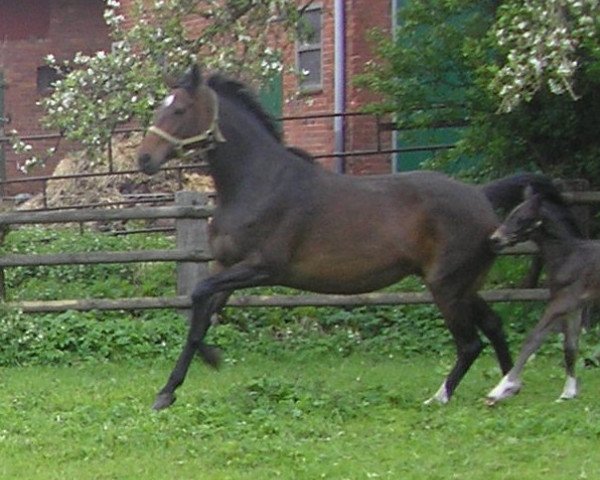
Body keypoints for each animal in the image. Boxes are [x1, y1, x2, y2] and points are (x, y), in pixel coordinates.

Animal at [137, 63, 564, 410]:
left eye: (178, 110)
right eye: (160, 108)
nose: (144, 160)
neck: (256, 183)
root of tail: (482, 195)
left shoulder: (261, 268)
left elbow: (198, 296)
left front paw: (207, 362)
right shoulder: (225, 265)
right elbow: (200, 316)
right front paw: (169, 390)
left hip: (447, 285)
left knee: (470, 342)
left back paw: (442, 397)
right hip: (464, 284)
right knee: (493, 326)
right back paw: (506, 388)